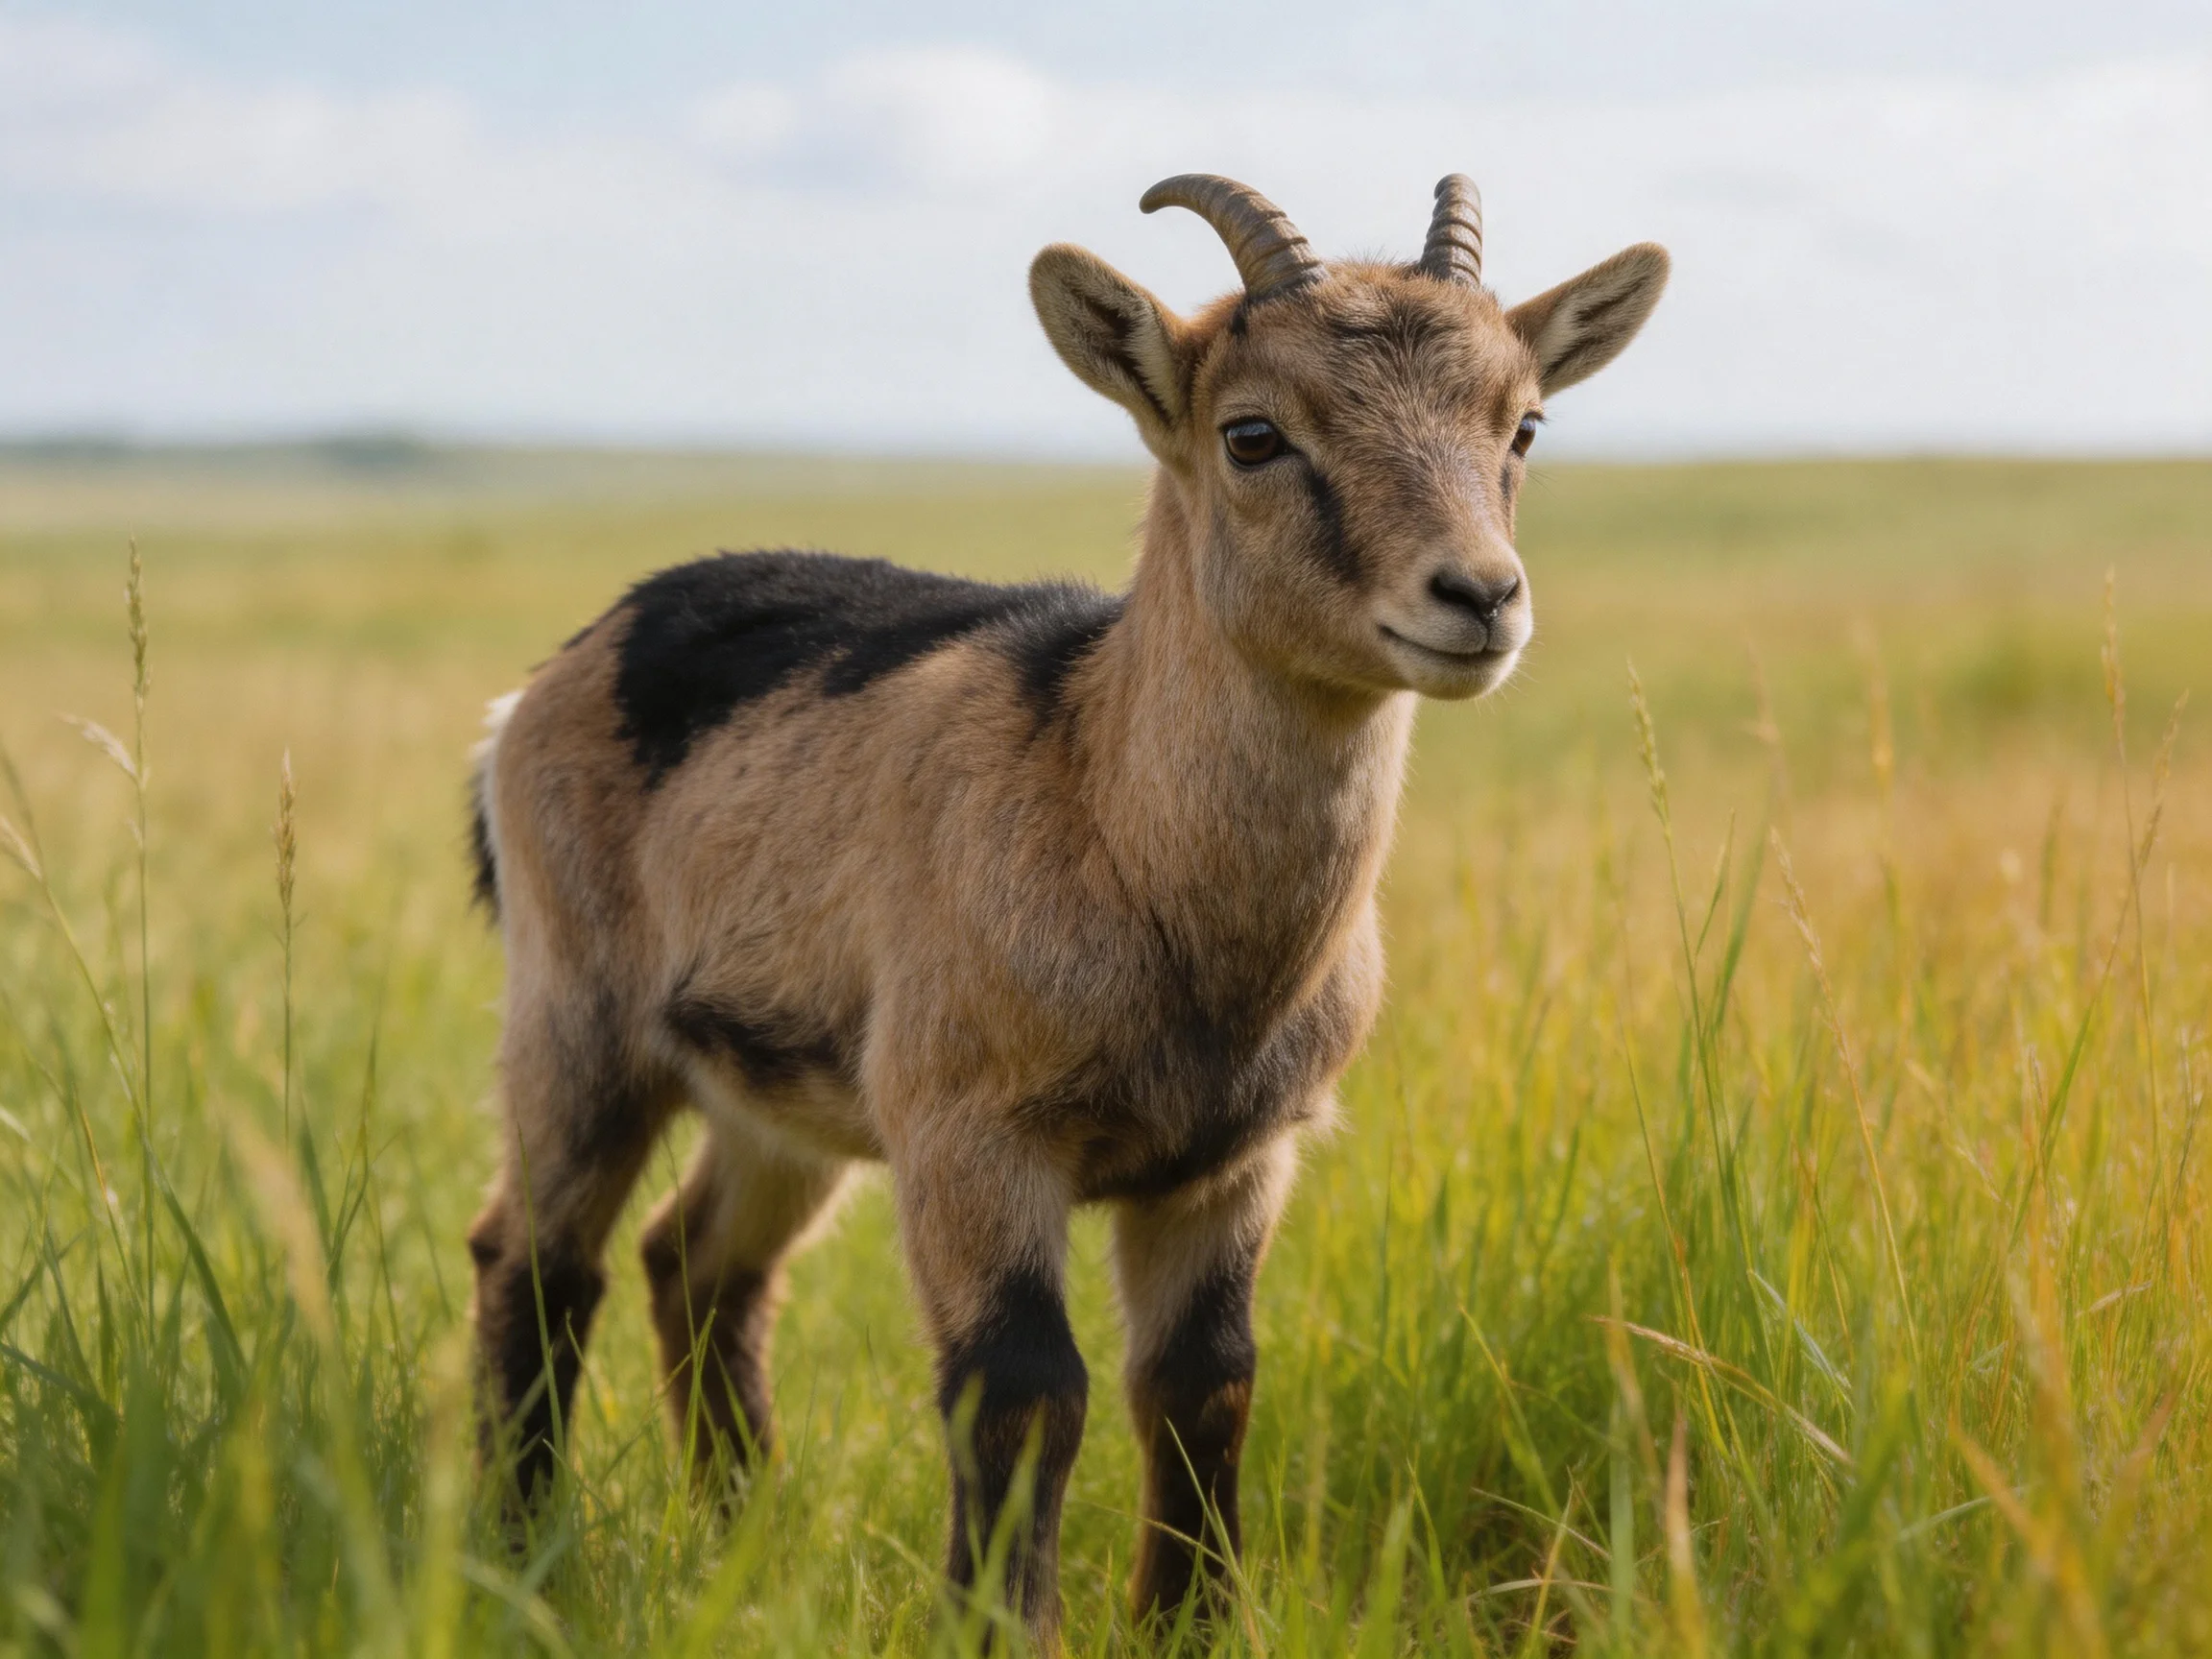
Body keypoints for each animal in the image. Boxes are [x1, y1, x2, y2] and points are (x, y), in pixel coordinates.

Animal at [465, 172, 1667, 1643]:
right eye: (1253, 432)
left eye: (1525, 422)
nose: (1479, 596)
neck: (1117, 832)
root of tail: (547, 683)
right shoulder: (973, 1132)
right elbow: (1026, 1382)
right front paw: (998, 1627)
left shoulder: (1233, 1158)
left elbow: (1205, 1380)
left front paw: (1190, 1624)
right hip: (577, 1017)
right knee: (536, 1257)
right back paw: (521, 1552)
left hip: (778, 1099)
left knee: (696, 1266)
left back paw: (742, 1539)